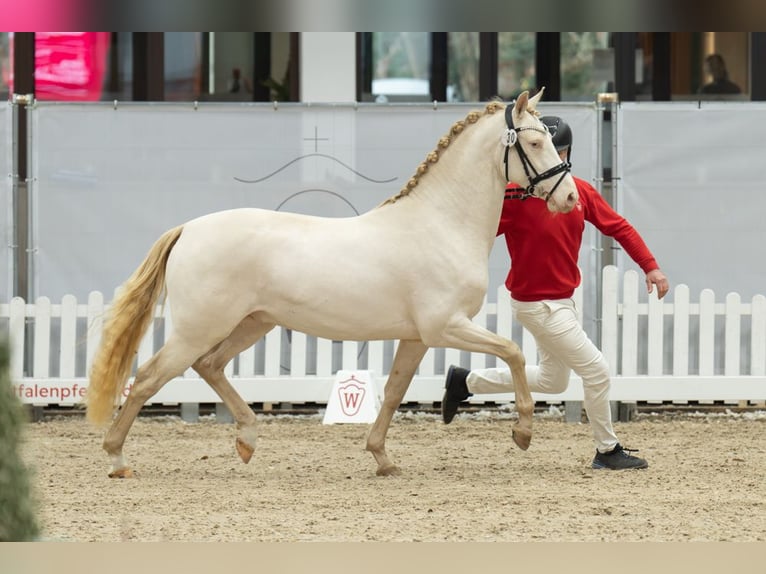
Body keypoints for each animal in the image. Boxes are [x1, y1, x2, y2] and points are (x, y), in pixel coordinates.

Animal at [85, 90, 576, 480]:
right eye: (535, 142)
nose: (570, 198)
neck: (441, 223)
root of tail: (188, 228)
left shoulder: (416, 337)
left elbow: (394, 390)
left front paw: (382, 458)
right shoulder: (445, 327)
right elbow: (512, 352)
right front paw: (523, 432)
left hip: (252, 323)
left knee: (210, 366)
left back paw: (247, 441)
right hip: (200, 328)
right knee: (148, 378)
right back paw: (117, 460)